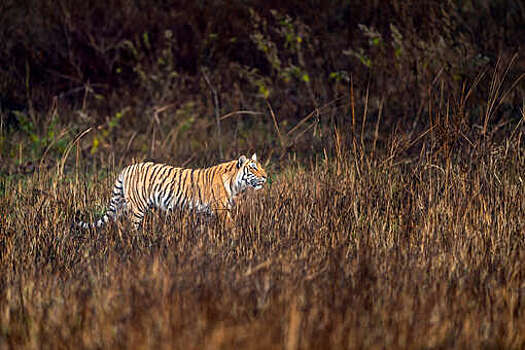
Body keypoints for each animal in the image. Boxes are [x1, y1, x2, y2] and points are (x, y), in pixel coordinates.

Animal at [74, 153, 266, 230]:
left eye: (261, 167)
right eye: (254, 168)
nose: (265, 176)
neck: (236, 183)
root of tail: (126, 168)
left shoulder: (208, 212)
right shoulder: (221, 209)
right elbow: (231, 226)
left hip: (121, 203)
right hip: (137, 208)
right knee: (132, 228)